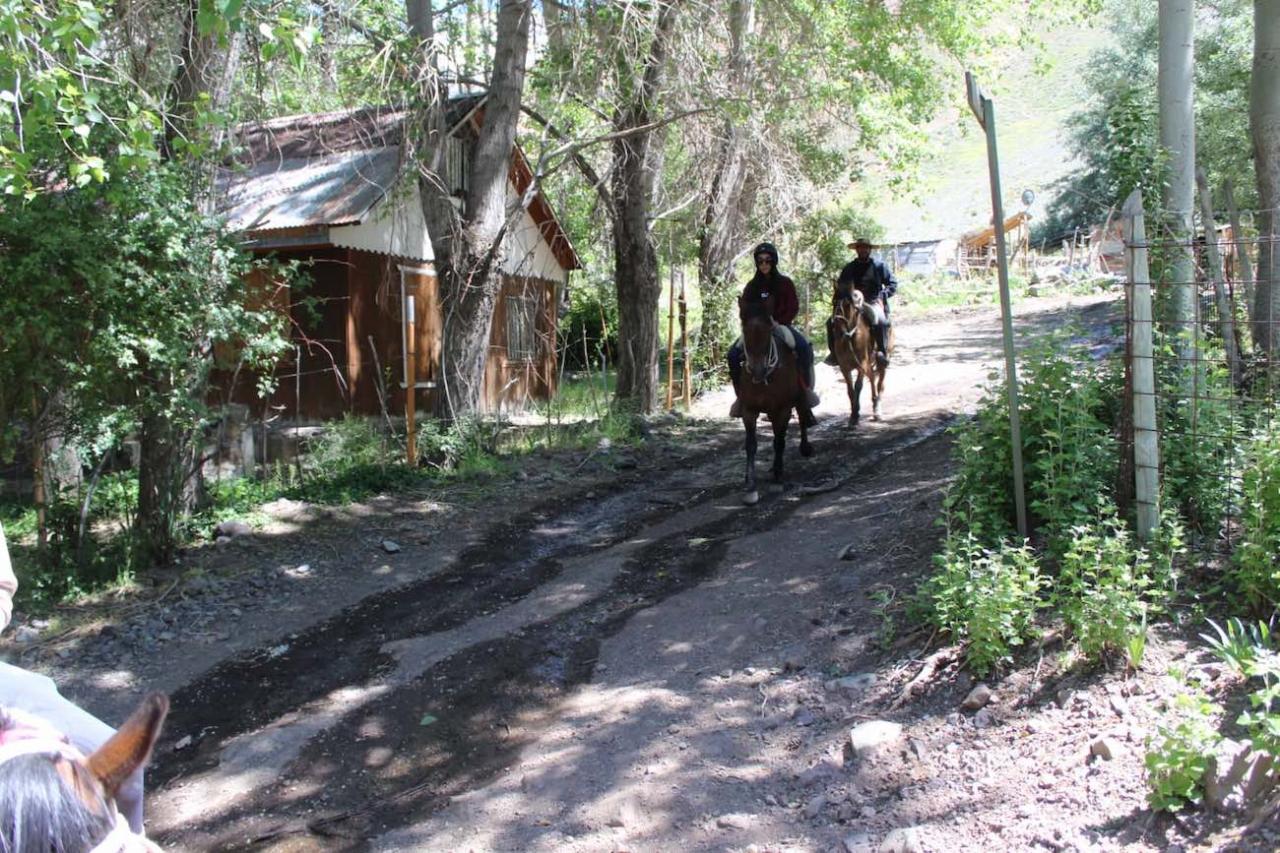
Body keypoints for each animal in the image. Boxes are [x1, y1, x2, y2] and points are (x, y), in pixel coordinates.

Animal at [737, 295, 814, 502]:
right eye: (744, 330)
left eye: (768, 330)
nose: (757, 370)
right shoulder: (748, 410)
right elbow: (751, 445)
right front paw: (750, 485)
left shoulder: (783, 409)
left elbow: (780, 441)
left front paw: (778, 477)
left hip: (798, 399)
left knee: (802, 417)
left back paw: (804, 448)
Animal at [829, 289, 890, 425]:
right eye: (834, 302)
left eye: (847, 305)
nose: (837, 328)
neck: (850, 337)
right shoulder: (844, 368)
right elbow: (850, 390)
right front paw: (853, 414)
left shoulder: (862, 364)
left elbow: (858, 386)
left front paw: (855, 413)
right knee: (872, 378)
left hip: (880, 360)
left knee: (880, 383)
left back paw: (877, 409)